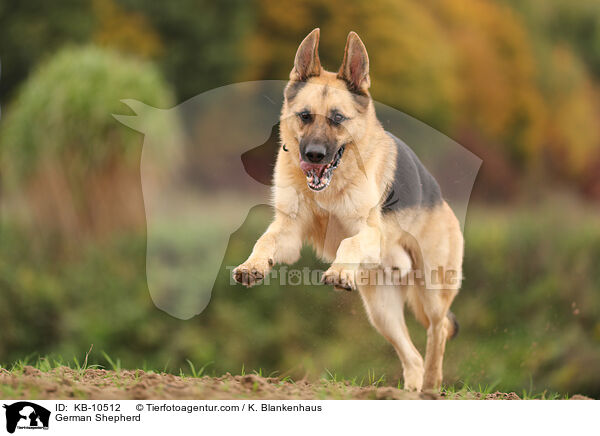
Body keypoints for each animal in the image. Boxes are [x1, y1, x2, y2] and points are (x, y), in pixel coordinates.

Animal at [232, 30, 462, 392]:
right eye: (305, 116)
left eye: (337, 119)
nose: (313, 155)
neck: (329, 188)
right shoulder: (290, 232)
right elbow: (265, 240)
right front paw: (252, 266)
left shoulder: (368, 232)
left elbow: (348, 242)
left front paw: (339, 271)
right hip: (382, 312)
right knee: (412, 356)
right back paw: (410, 392)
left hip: (432, 292)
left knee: (437, 332)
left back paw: (430, 387)